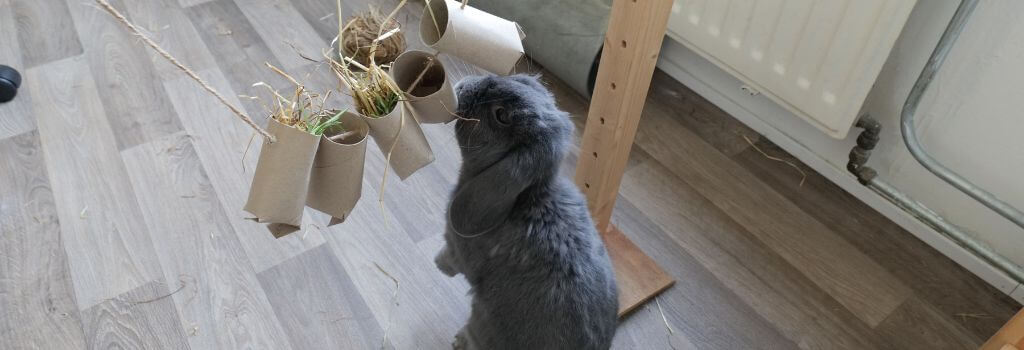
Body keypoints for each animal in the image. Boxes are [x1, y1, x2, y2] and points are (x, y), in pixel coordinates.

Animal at [432, 75, 614, 347]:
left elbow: (452, 259)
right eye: (524, 81)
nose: (466, 84)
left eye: (501, 115)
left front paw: (439, 264)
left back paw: (459, 341)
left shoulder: (458, 250)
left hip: (482, 319)